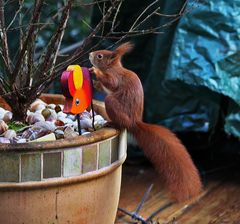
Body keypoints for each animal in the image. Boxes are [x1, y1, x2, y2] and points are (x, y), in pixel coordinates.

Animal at [89, 42, 202, 201]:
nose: (90, 54)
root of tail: (133, 123)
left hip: (112, 104)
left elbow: (111, 83)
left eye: (100, 56)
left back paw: (112, 123)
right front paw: (94, 82)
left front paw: (95, 71)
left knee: (117, 117)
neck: (112, 67)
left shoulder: (115, 76)